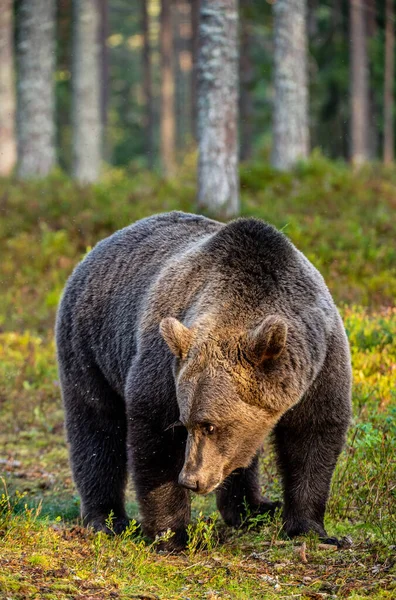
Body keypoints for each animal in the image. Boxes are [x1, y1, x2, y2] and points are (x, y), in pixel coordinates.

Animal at [55, 210, 350, 548]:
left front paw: (310, 527)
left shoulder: (321, 360)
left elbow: (313, 434)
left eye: (210, 425)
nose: (191, 479)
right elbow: (155, 440)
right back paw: (107, 519)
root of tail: (98, 247)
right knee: (96, 426)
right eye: (185, 423)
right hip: (89, 345)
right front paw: (172, 534)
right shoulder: (165, 366)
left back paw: (254, 509)